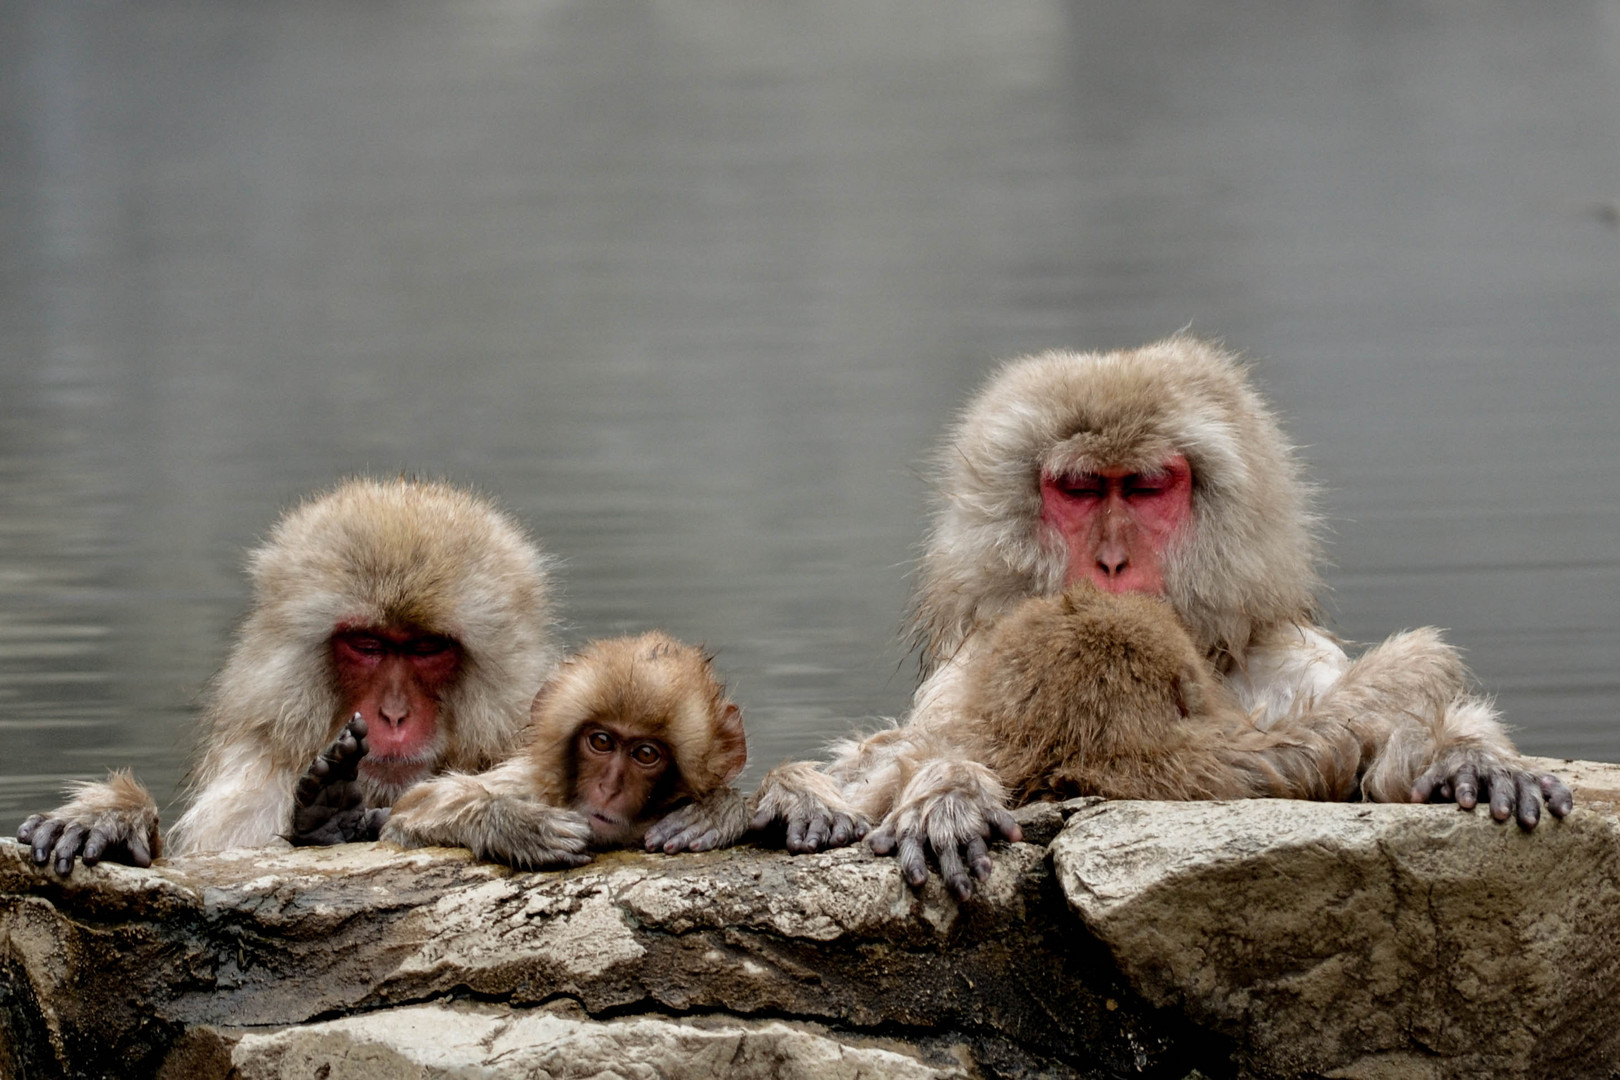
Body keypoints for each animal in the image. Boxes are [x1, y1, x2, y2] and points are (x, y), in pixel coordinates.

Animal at [14, 476, 563, 874]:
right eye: (367, 645)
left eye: (427, 648)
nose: (393, 714)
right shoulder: (249, 790)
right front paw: (113, 820)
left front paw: (480, 814)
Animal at [370, 634, 748, 867]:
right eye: (601, 742)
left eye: (645, 754)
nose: (609, 788)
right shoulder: (530, 782)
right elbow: (410, 809)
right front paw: (517, 825)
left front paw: (716, 811)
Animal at [751, 333, 1574, 900]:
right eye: (1081, 490)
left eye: (1146, 488)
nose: (1112, 562)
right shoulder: (968, 667)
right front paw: (938, 794)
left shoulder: (1298, 657)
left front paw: (1462, 758)